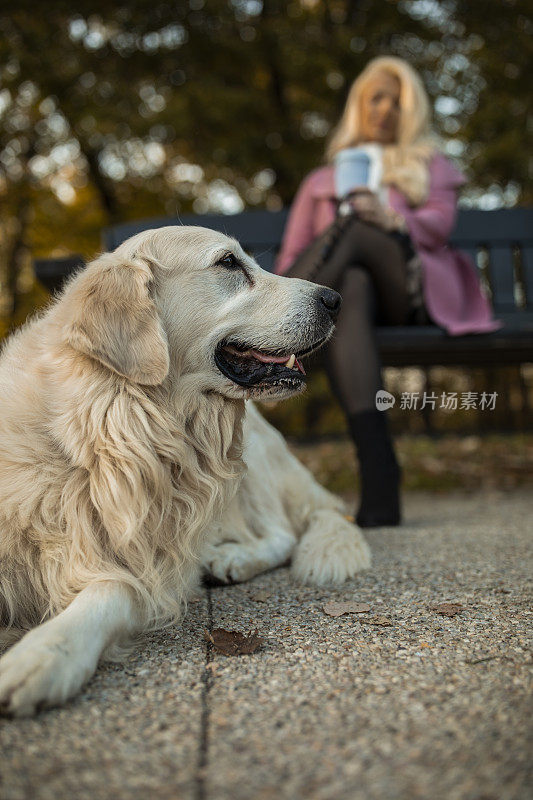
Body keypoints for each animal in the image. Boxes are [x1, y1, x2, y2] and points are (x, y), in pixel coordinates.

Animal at [0, 223, 368, 712]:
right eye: (229, 263)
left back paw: (231, 558)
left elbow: (113, 591)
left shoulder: (147, 566)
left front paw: (42, 654)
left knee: (283, 534)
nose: (335, 299)